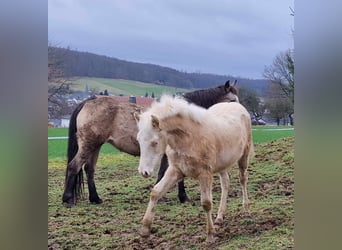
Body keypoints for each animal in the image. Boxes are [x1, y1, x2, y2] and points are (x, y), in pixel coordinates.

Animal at [62, 80, 238, 207]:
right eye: (232, 100)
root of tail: (87, 102)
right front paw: (181, 197)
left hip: (95, 146)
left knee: (89, 170)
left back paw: (95, 198)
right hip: (88, 145)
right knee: (74, 166)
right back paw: (68, 199)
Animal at [134, 94, 254, 241]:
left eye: (155, 142)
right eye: (138, 140)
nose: (144, 172)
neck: (189, 138)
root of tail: (235, 104)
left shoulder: (205, 174)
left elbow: (206, 203)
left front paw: (210, 235)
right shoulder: (176, 170)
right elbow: (156, 192)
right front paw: (145, 229)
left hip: (244, 155)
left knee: (243, 179)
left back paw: (246, 210)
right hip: (222, 164)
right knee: (225, 183)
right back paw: (219, 217)